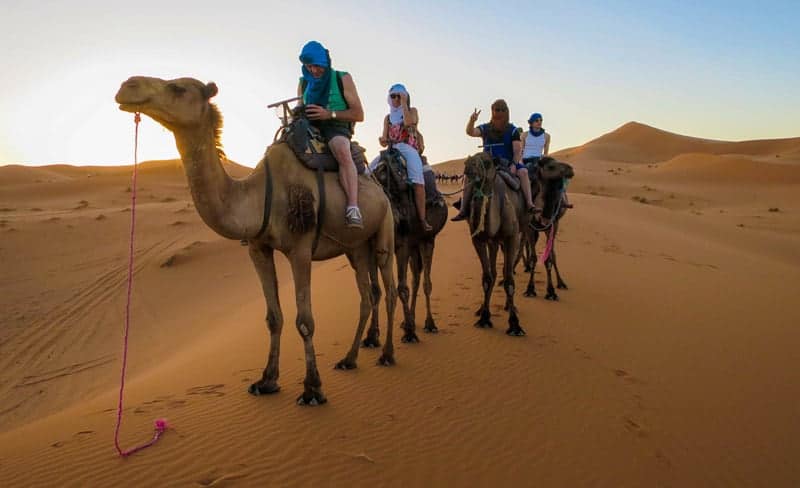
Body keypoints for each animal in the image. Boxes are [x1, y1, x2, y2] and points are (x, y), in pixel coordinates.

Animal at [115, 75, 396, 404]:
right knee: (366, 295)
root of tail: (378, 187)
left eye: (178, 88)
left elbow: (305, 320)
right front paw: (266, 380)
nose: (127, 85)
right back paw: (349, 359)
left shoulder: (300, 249)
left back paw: (388, 353)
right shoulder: (258, 248)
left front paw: (312, 388)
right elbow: (273, 317)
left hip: (384, 231)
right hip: (355, 247)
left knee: (389, 288)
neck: (259, 196)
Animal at [368, 152, 450, 344]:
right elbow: (374, 290)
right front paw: (372, 336)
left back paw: (429, 323)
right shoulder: (370, 249)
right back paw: (409, 321)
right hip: (414, 245)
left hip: (427, 239)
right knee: (416, 278)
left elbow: (402, 288)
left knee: (425, 281)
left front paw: (410, 334)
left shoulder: (402, 245)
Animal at [460, 152, 528, 336]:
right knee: (496, 272)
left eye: (487, 162)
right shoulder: (479, 240)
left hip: (520, 231)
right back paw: (482, 309)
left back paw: (510, 307)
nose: (468, 166)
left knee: (507, 270)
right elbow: (487, 277)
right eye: (468, 161)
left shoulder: (511, 237)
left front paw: (515, 325)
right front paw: (484, 318)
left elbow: (509, 280)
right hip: (494, 242)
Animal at [520, 156, 572, 302]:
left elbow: (549, 257)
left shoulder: (552, 226)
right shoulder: (529, 228)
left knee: (552, 253)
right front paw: (530, 289)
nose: (570, 169)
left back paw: (561, 282)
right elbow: (533, 258)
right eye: (550, 167)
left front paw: (551, 291)